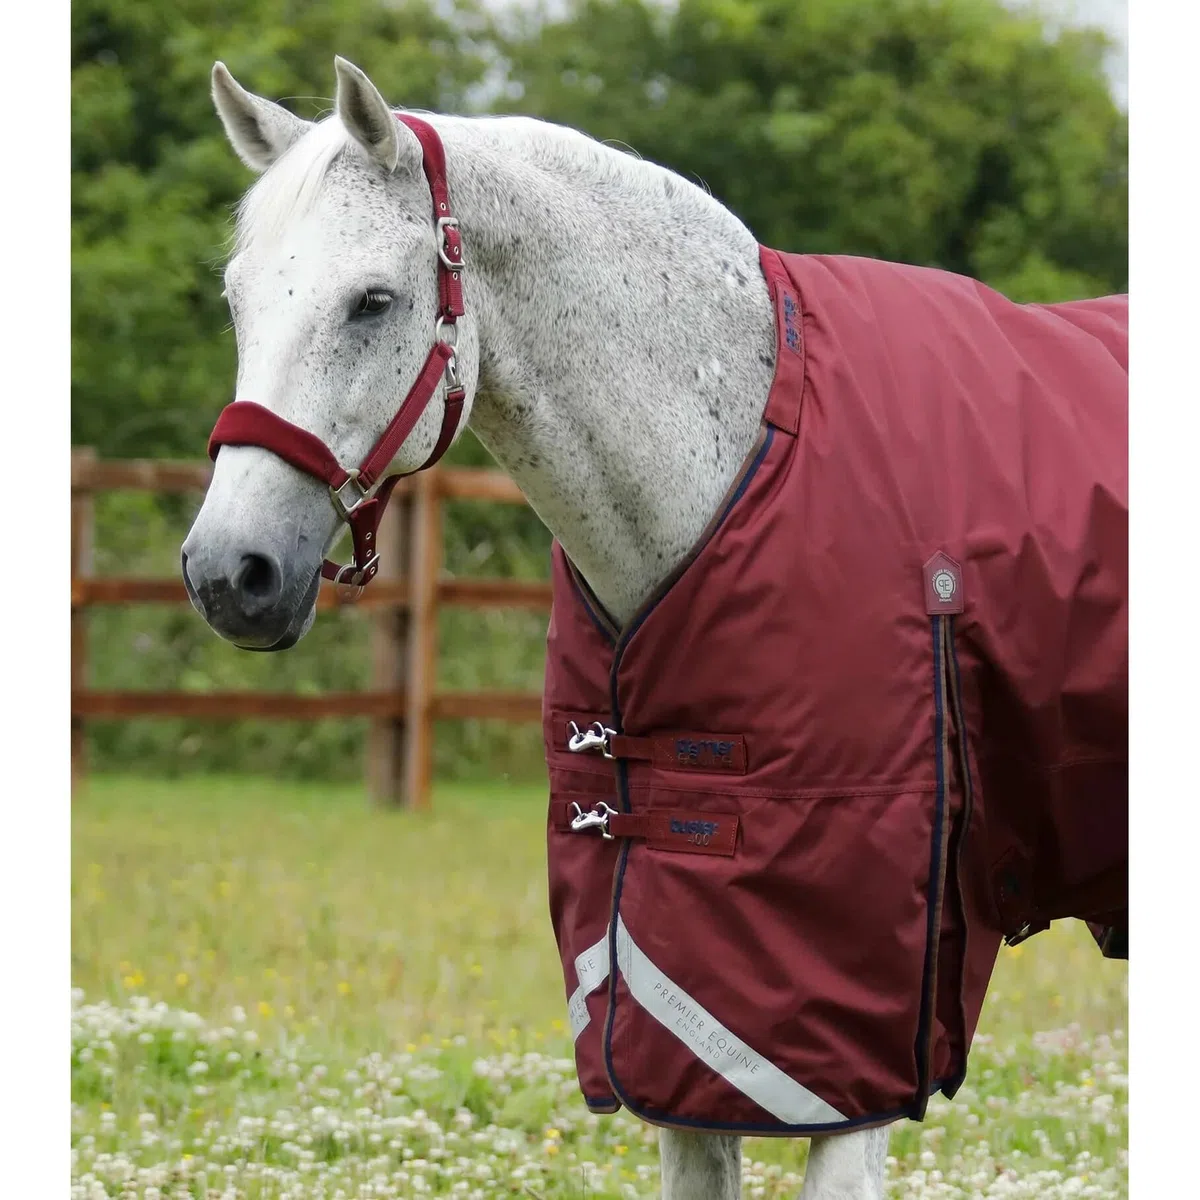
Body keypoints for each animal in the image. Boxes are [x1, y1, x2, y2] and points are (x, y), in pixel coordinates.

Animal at [182, 57, 1127, 1199]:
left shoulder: (857, 1039)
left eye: (373, 302)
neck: (746, 456)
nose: (228, 572)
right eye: (235, 301)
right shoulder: (682, 1021)